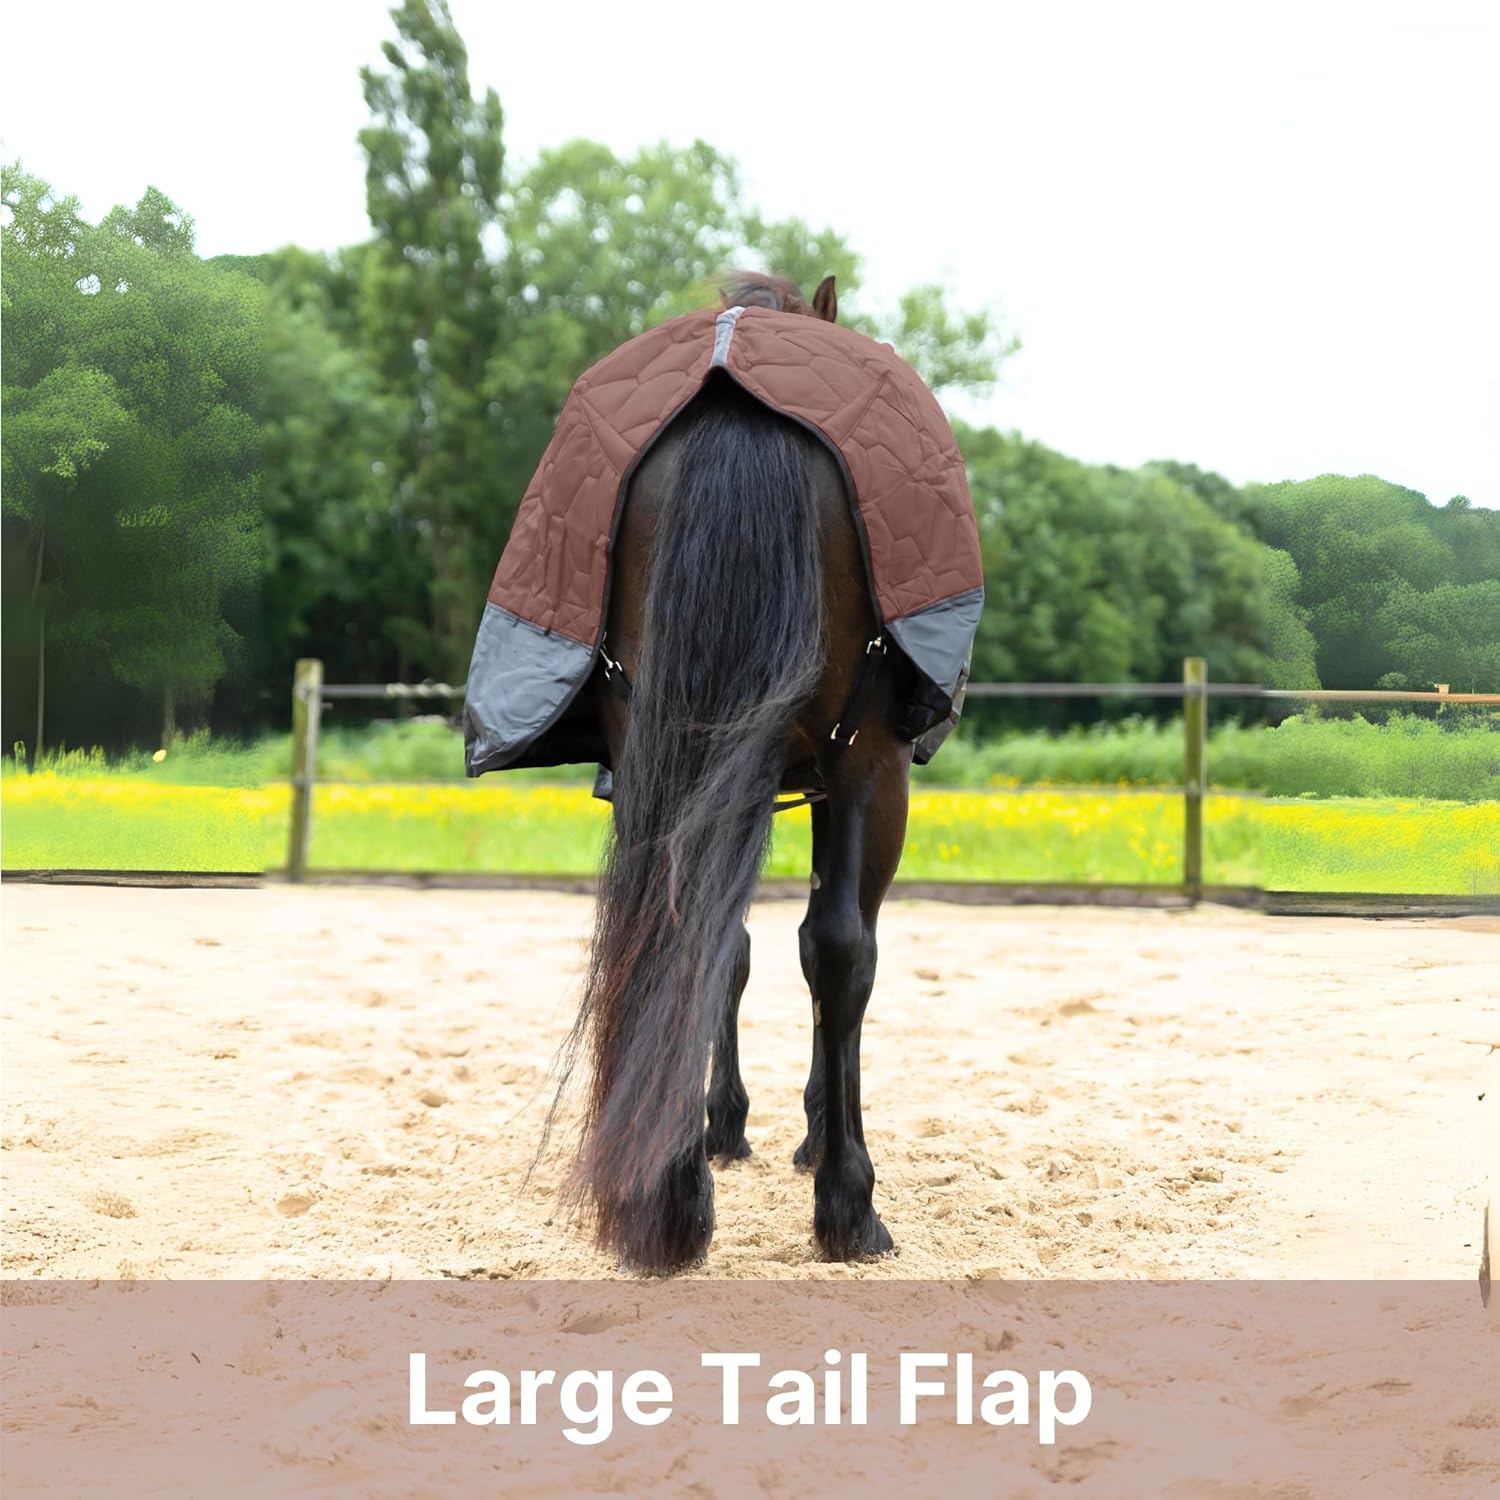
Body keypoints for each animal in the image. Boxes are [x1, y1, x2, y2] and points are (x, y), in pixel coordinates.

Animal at [557, 272, 918, 1274]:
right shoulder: (857, 777)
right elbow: (828, 953)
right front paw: (814, 1141)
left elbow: (731, 947)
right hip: (871, 765)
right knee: (841, 951)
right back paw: (847, 1203)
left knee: (684, 925)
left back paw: (668, 1195)